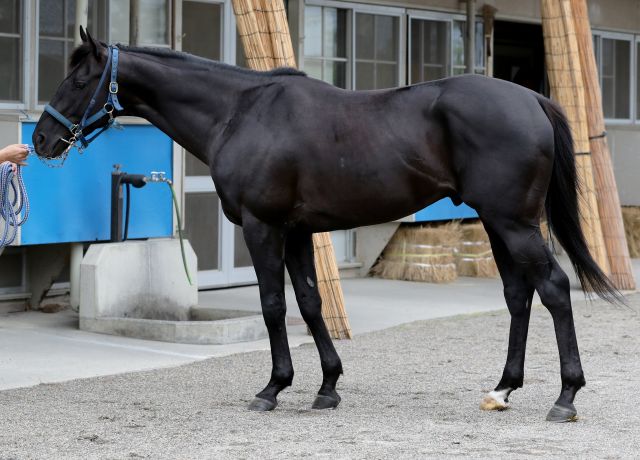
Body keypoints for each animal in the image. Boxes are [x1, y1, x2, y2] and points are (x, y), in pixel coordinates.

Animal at [32, 30, 616, 422]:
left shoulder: (263, 227)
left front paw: (272, 389)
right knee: (520, 296)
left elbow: (273, 306)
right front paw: (327, 387)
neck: (239, 112)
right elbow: (311, 303)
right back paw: (502, 390)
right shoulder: (297, 231)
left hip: (513, 224)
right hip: (498, 224)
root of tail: (532, 98)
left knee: (554, 288)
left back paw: (565, 398)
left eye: (80, 79)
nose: (40, 140)